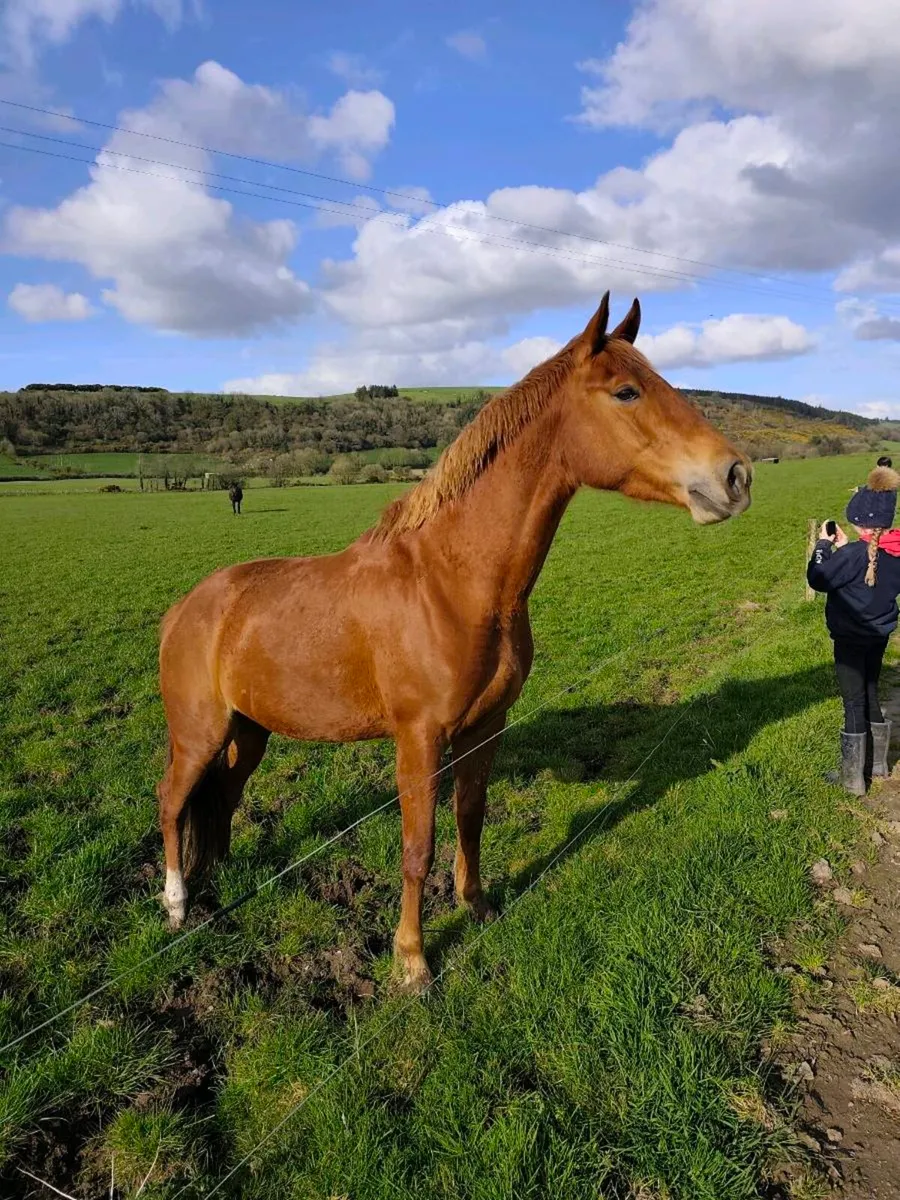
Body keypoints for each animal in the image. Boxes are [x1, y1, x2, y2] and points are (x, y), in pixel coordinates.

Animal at [157, 293, 752, 992]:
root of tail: (186, 609)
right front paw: (412, 961)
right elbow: (419, 847)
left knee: (222, 796)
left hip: (248, 733)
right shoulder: (419, 741)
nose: (735, 476)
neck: (452, 583)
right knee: (172, 801)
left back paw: (220, 875)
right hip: (199, 734)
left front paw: (477, 904)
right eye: (627, 392)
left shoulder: (485, 727)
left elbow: (471, 816)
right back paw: (176, 903)